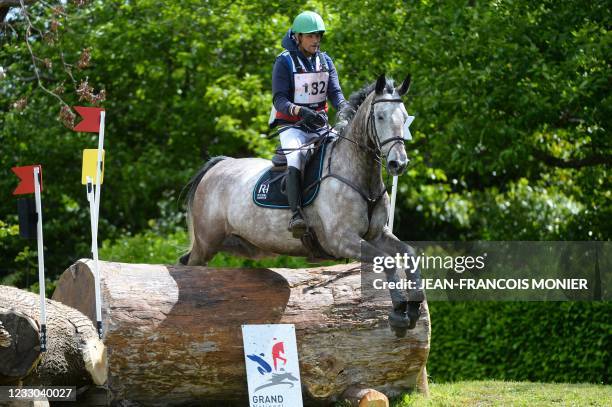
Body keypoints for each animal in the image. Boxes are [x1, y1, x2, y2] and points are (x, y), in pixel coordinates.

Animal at [179, 75, 424, 334]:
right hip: (207, 242)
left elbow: (409, 253)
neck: (360, 175)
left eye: (404, 116)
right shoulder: (341, 240)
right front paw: (398, 313)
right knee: (191, 266)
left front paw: (414, 308)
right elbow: (386, 260)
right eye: (380, 117)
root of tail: (218, 165)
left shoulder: (376, 235)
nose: (399, 163)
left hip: (240, 244)